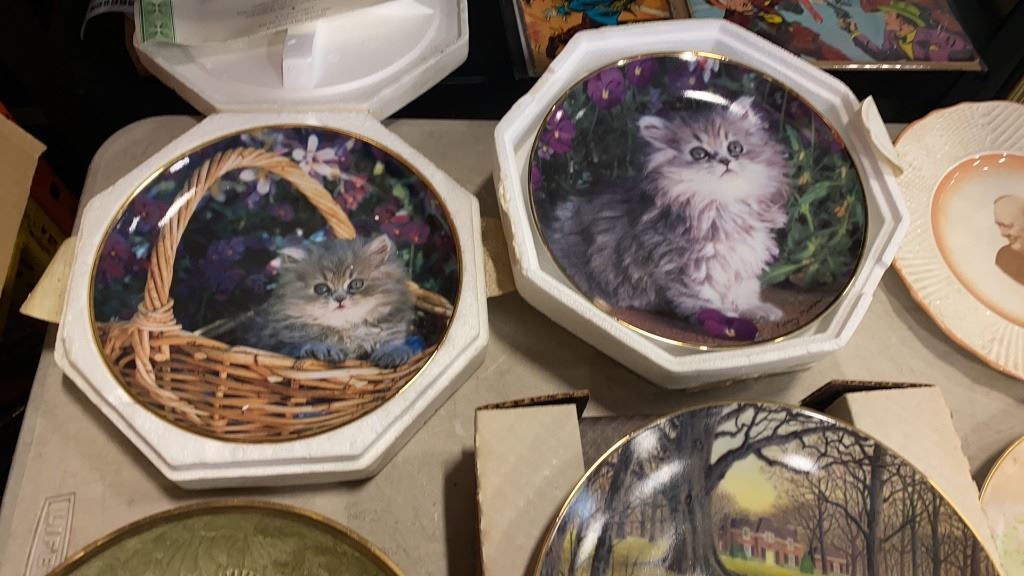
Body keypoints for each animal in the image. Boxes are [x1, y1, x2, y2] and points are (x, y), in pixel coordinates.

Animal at [214, 235, 417, 368]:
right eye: (321, 289)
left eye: (356, 284)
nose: (339, 299)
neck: (345, 329)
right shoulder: (277, 343)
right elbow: (305, 342)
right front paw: (324, 348)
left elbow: (392, 339)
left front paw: (393, 352)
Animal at [545, 95, 792, 323]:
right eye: (699, 153)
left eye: (735, 148)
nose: (725, 161)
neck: (721, 205)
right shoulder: (688, 263)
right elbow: (704, 296)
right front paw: (723, 318)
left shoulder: (742, 258)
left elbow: (744, 290)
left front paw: (755, 309)